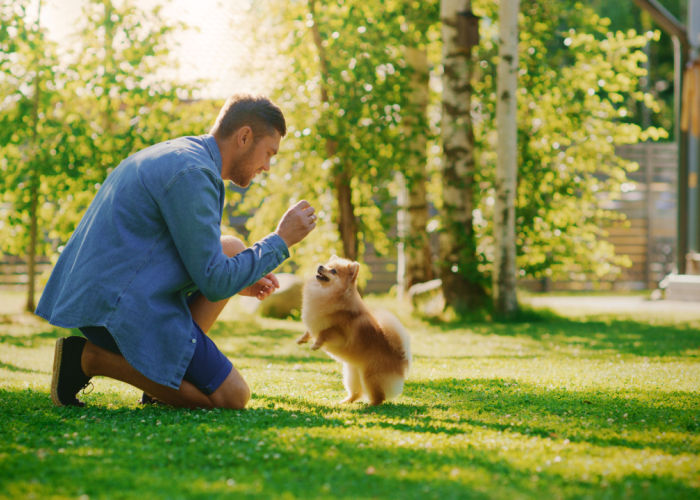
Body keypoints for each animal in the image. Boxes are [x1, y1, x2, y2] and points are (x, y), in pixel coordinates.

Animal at [296, 256, 410, 404]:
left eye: (333, 271)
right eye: (327, 265)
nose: (320, 266)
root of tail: (400, 357)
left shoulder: (340, 333)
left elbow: (325, 332)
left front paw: (316, 344)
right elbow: (309, 331)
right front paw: (302, 339)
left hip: (370, 376)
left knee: (379, 397)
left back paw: (370, 405)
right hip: (352, 373)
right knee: (357, 392)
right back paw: (345, 402)